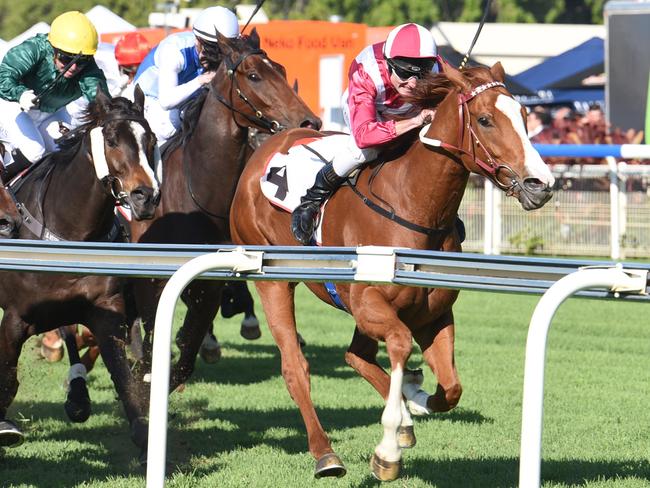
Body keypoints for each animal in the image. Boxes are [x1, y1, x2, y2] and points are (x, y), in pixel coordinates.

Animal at [0, 85, 159, 458]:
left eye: (151, 140)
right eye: (112, 139)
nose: (146, 196)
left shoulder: (106, 311)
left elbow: (124, 381)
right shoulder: (15, 318)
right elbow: (8, 378)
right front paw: (5, 427)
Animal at [230, 62, 556, 480]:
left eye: (524, 115)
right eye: (485, 120)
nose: (541, 184)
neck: (413, 204)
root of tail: (267, 148)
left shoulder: (433, 314)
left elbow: (451, 389)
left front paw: (414, 401)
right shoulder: (370, 301)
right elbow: (400, 344)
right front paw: (387, 449)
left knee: (356, 356)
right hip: (274, 282)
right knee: (295, 367)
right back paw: (326, 453)